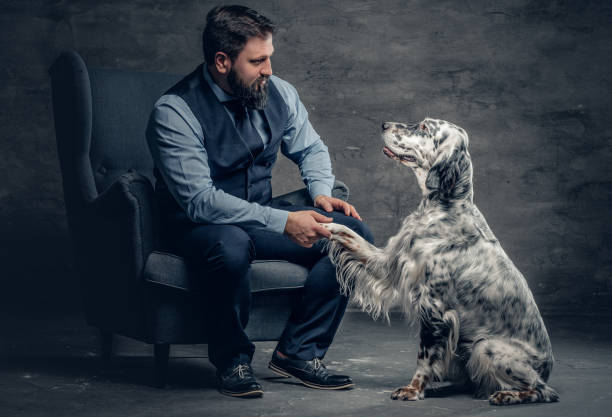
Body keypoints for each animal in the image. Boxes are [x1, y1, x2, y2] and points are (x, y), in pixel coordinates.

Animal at [326, 118, 560, 404]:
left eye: (425, 128)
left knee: (543, 390)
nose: (384, 124)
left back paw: (507, 395)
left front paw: (413, 389)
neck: (444, 206)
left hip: (486, 346)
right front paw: (324, 224)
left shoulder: (434, 305)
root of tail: (548, 367)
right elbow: (352, 238)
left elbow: (424, 356)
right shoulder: (390, 263)